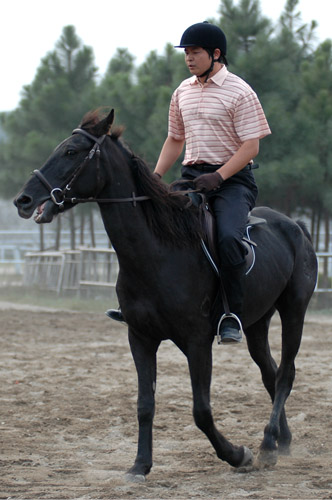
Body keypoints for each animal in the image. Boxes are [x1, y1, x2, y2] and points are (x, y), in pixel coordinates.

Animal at [14, 108, 318, 480]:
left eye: (71, 152)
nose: (23, 200)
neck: (158, 252)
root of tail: (296, 226)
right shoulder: (141, 337)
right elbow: (145, 404)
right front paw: (140, 465)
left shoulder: (197, 342)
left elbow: (201, 410)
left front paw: (237, 454)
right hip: (257, 322)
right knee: (270, 374)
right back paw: (279, 442)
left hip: (293, 311)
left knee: (286, 373)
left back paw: (266, 444)